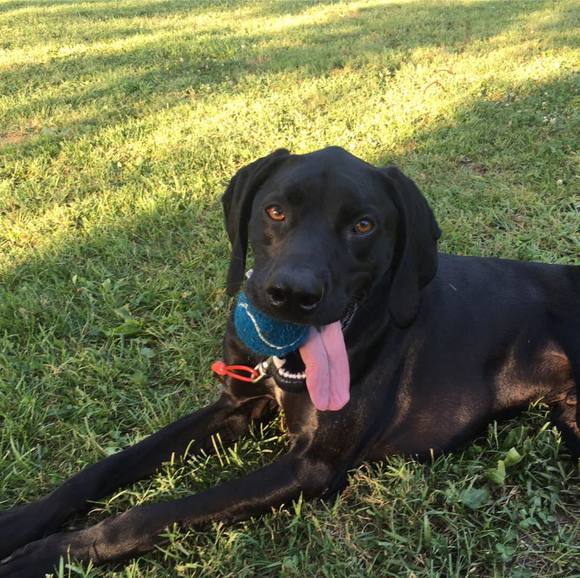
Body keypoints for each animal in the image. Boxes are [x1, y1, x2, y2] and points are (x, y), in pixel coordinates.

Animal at [0, 147, 578, 576]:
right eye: (275, 211)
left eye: (363, 225)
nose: (291, 295)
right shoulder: (235, 406)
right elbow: (107, 466)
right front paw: (22, 523)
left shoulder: (310, 465)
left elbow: (151, 514)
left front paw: (47, 556)